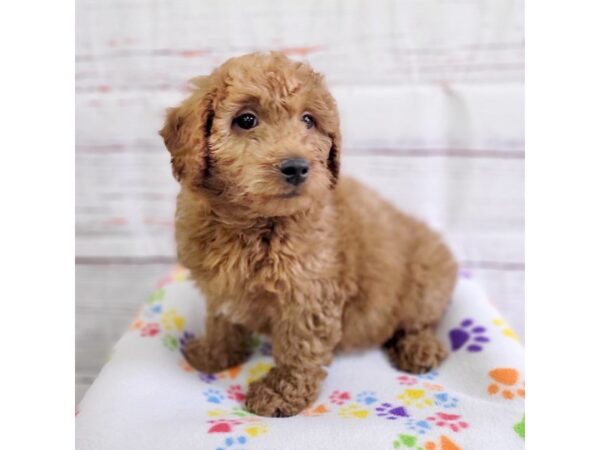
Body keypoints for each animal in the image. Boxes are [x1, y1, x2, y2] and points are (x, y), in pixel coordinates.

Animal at [159, 52, 460, 418]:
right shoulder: (220, 287)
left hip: (426, 279)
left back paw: (420, 348)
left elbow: (298, 349)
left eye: (308, 120)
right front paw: (215, 354)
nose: (297, 167)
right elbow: (221, 321)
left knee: (419, 321)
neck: (252, 225)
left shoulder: (308, 293)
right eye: (246, 120)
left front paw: (279, 394)